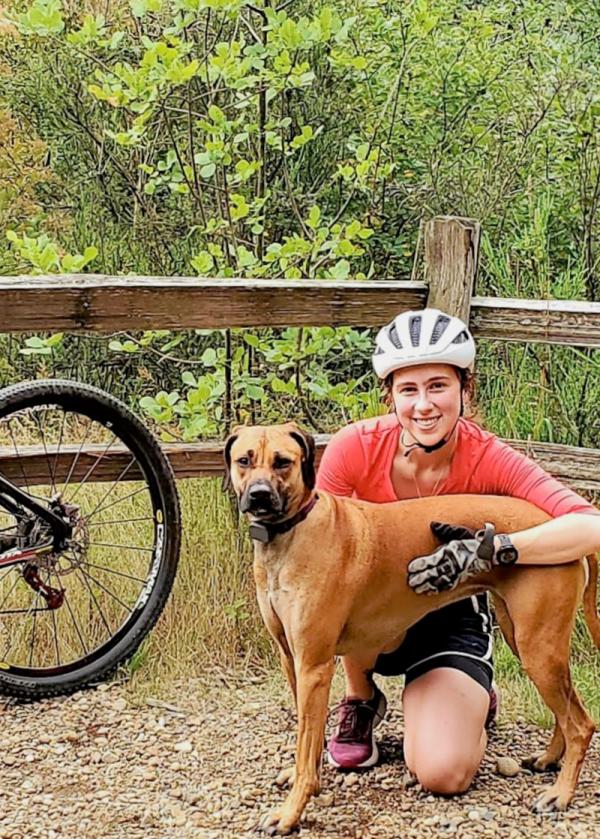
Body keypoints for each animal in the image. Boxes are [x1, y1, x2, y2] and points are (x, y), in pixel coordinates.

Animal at [223, 424, 596, 836]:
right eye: (244, 460)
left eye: (282, 462)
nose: (258, 496)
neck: (292, 532)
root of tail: (550, 516)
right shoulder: (292, 660)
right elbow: (307, 736)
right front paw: (299, 777)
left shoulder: (313, 667)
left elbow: (307, 744)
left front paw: (290, 812)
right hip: (525, 638)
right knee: (567, 709)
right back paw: (549, 759)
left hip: (537, 647)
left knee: (581, 723)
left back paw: (560, 794)